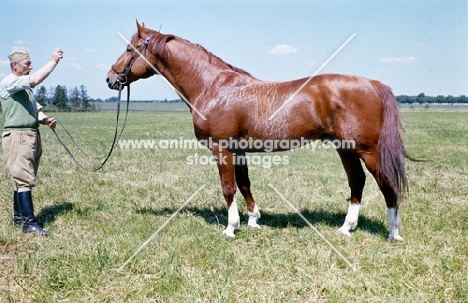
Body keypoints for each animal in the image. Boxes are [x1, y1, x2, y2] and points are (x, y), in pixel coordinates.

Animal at [108, 21, 412, 243]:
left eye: (129, 48)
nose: (111, 78)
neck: (213, 87)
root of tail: (373, 83)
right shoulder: (239, 150)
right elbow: (245, 184)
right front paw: (254, 220)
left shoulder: (222, 149)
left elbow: (228, 188)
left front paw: (230, 228)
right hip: (345, 148)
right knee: (357, 182)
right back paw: (346, 227)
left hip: (367, 150)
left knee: (386, 184)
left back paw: (393, 233)